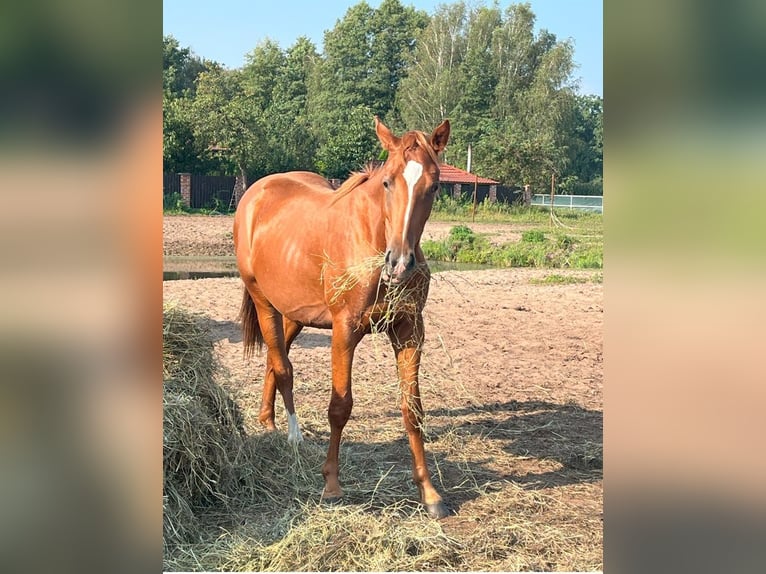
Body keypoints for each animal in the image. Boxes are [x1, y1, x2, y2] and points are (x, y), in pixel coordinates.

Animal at [234, 117, 450, 520]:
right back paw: (293, 435)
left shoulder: (410, 330)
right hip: (263, 301)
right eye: (387, 182)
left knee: (275, 359)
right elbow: (340, 407)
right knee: (283, 368)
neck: (373, 238)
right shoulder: (344, 330)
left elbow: (412, 410)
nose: (400, 263)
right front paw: (332, 485)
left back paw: (267, 420)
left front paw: (430, 493)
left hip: (294, 313)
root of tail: (256, 192)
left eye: (434, 184)